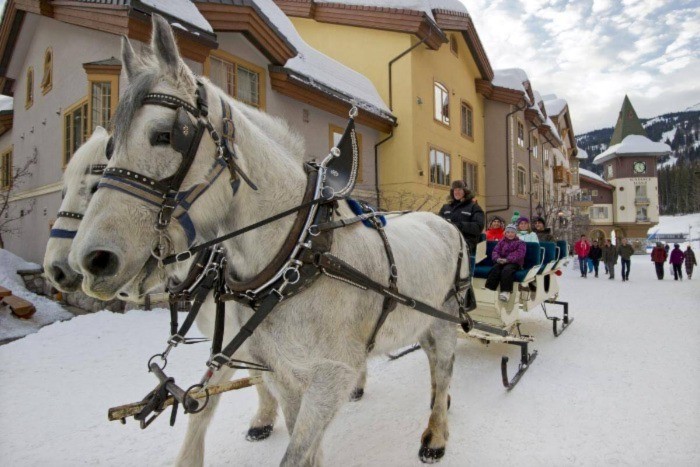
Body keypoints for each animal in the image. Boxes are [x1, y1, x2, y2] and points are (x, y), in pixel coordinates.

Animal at [71, 16, 468, 466]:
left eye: (165, 135)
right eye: (110, 146)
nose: (92, 259)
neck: (299, 257)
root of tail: (444, 222)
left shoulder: (328, 375)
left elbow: (291, 450)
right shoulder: (282, 373)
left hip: (445, 319)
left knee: (442, 370)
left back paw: (436, 433)